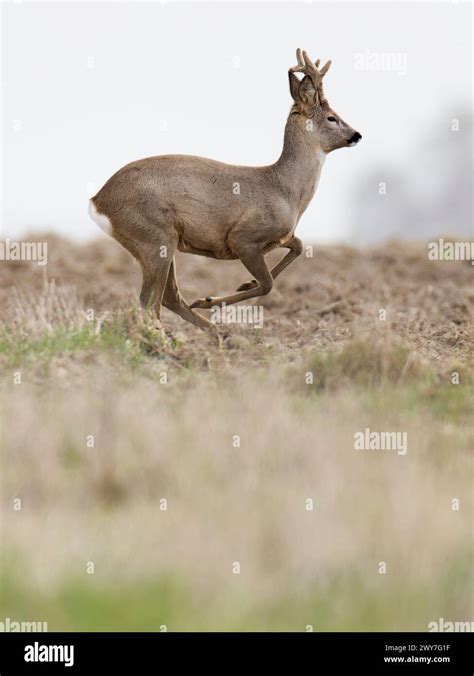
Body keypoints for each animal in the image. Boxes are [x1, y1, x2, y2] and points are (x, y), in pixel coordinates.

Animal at [90, 50, 362, 330]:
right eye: (332, 117)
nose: (357, 135)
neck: (284, 188)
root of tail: (97, 200)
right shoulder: (243, 237)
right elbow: (267, 284)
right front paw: (211, 299)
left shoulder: (280, 236)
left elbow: (297, 247)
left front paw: (239, 285)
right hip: (154, 237)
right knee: (151, 300)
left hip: (162, 242)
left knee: (167, 297)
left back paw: (216, 333)